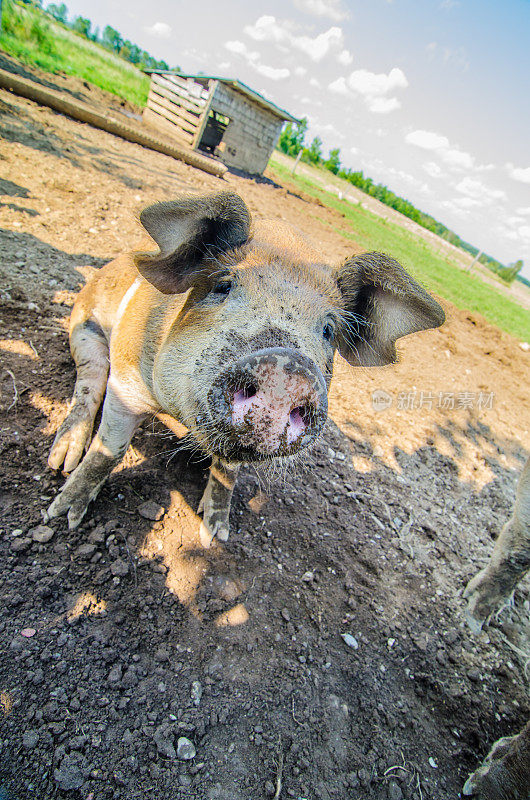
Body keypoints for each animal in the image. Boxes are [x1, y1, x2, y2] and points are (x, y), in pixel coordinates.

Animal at [45, 192, 444, 544]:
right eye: (223, 285)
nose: (287, 367)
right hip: (83, 326)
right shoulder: (127, 380)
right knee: (90, 382)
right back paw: (60, 463)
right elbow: (109, 451)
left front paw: (214, 536)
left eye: (328, 330)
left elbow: (227, 474)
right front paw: (62, 516)